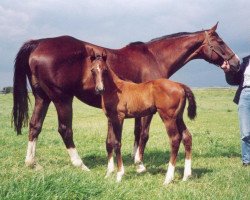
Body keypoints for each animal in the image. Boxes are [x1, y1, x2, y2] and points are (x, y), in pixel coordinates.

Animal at [90, 50, 197, 184]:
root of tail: (180, 86)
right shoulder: (110, 118)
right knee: (187, 137)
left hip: (168, 117)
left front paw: (119, 174)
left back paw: (168, 178)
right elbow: (109, 143)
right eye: (92, 70)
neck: (115, 89)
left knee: (175, 139)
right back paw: (186, 176)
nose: (100, 89)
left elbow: (117, 143)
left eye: (105, 70)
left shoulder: (119, 117)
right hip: (178, 117)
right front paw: (109, 173)